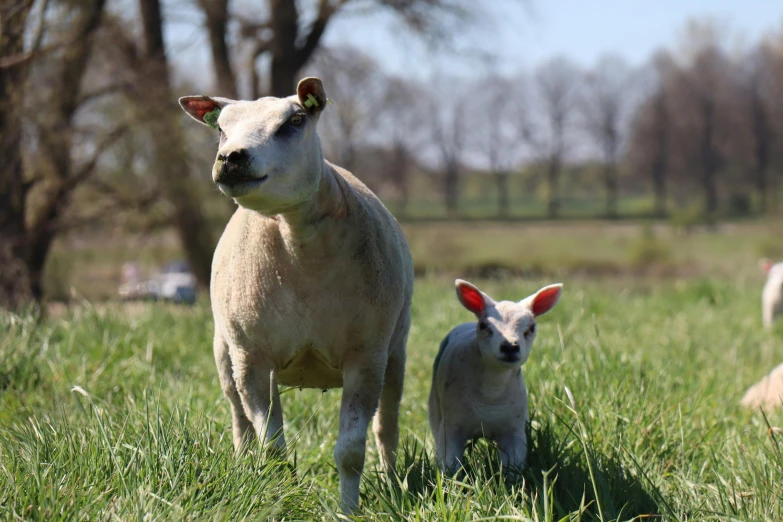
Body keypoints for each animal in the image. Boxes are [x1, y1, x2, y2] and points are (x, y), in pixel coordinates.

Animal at [179, 79, 416, 510]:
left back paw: (391, 482)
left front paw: (349, 510)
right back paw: (242, 469)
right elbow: (272, 447)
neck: (297, 244)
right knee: (241, 425)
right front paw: (280, 500)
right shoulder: (252, 358)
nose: (231, 158)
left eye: (294, 121)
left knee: (386, 427)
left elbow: (351, 451)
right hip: (226, 353)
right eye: (220, 128)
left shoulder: (366, 355)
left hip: (395, 353)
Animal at [428, 278, 564, 478]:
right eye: (484, 326)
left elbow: (513, 468)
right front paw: (451, 483)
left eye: (531, 328)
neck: (491, 392)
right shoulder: (451, 428)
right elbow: (450, 465)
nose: (509, 347)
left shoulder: (513, 431)